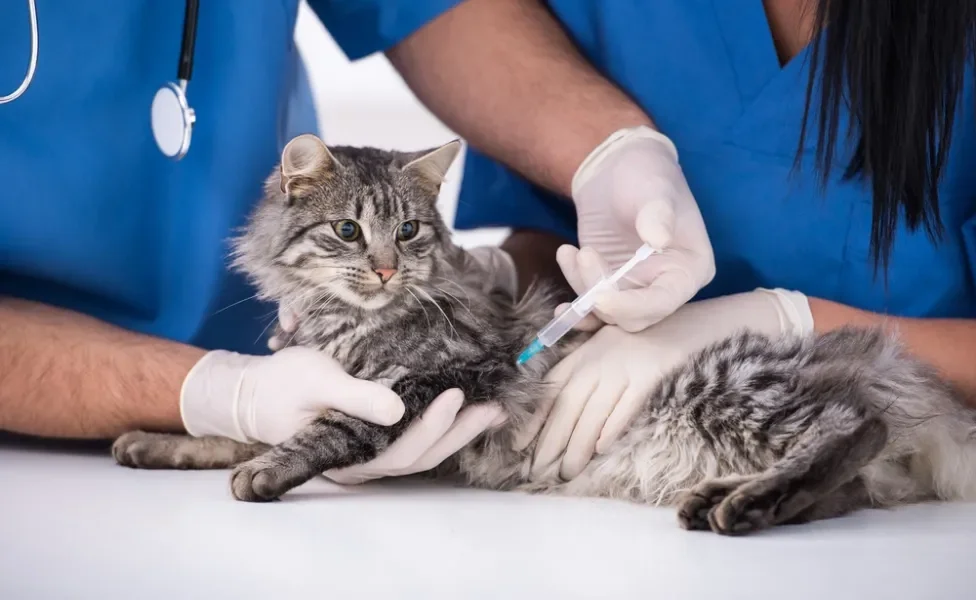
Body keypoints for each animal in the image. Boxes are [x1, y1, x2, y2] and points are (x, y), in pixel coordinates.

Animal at [114, 132, 976, 536]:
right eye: (348, 231)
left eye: (409, 232)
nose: (387, 269)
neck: (346, 323)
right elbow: (241, 426)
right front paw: (160, 441)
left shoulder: (450, 378)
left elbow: (330, 427)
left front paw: (265, 472)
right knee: (844, 485)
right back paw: (728, 498)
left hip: (728, 388)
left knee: (853, 430)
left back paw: (742, 505)